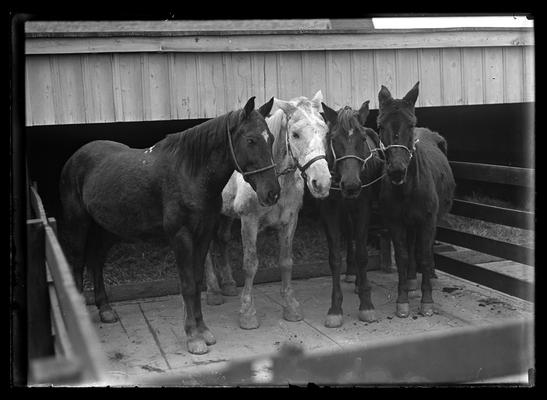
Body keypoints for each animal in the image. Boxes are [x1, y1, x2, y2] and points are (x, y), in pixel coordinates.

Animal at [60, 97, 280, 354]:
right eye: (251, 140)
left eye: (271, 138)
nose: (273, 192)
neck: (190, 174)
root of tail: (75, 157)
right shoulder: (181, 236)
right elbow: (187, 284)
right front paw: (193, 337)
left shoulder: (203, 234)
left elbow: (197, 281)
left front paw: (203, 331)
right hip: (78, 224)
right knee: (77, 264)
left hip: (107, 229)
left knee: (96, 261)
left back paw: (105, 309)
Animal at [316, 101, 386, 326]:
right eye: (334, 139)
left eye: (362, 139)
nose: (352, 185)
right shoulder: (329, 211)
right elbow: (334, 258)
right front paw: (335, 308)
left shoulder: (362, 208)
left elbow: (362, 254)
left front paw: (366, 304)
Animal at [376, 83, 458, 318]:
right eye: (380, 125)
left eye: (411, 124)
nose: (397, 170)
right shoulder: (396, 222)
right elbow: (403, 256)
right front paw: (403, 300)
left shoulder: (428, 221)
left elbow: (424, 254)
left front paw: (427, 301)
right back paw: (412, 282)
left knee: (426, 249)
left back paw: (429, 276)